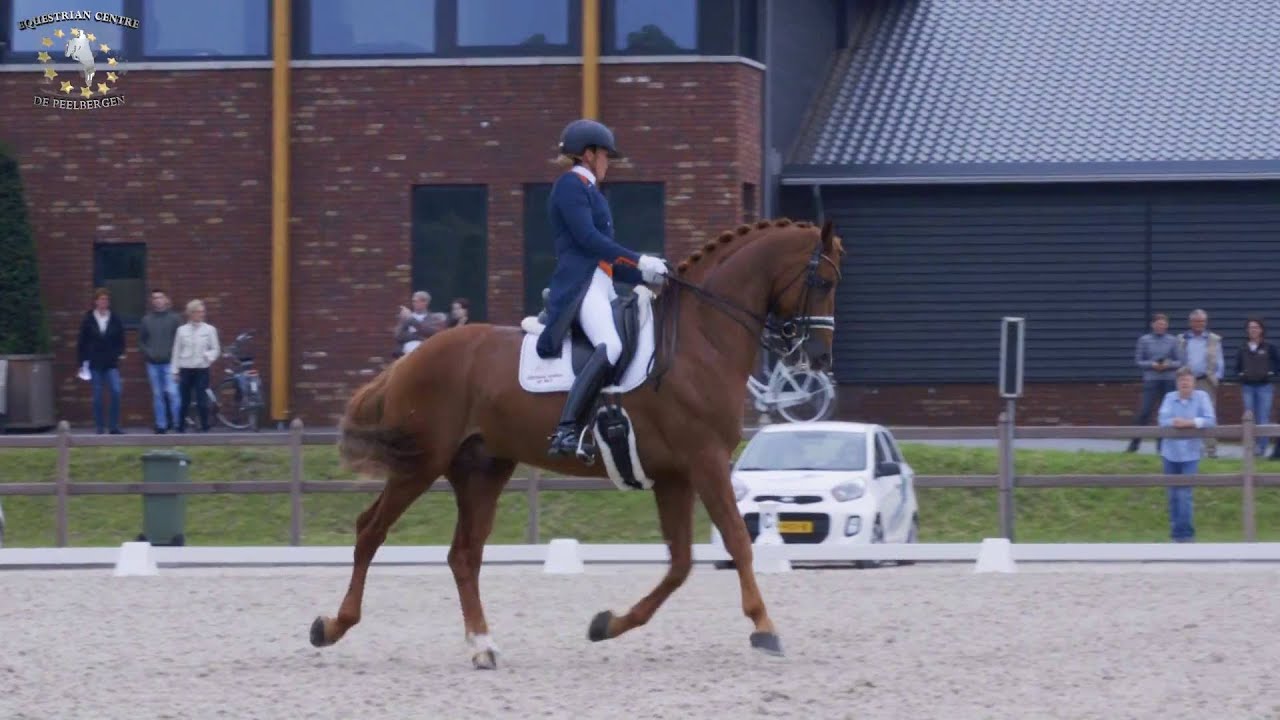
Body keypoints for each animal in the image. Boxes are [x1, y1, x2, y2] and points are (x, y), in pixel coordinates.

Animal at [309, 217, 844, 668]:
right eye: (823, 283)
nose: (818, 359)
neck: (700, 341)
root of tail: (413, 355)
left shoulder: (674, 475)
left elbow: (680, 563)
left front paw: (607, 624)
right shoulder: (705, 461)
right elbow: (736, 541)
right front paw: (764, 627)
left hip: (482, 469)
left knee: (464, 554)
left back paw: (482, 646)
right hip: (420, 464)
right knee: (370, 531)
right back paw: (332, 627)